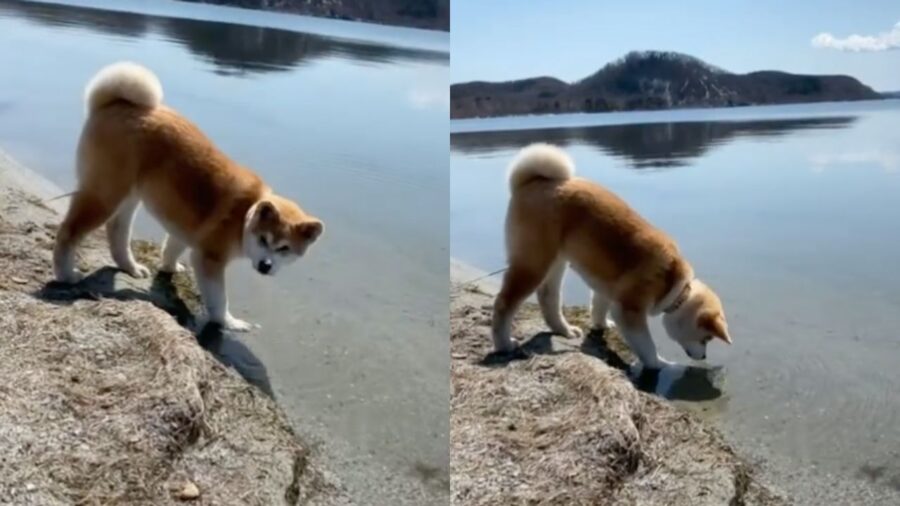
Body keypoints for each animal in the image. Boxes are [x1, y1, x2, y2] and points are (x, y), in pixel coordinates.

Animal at [52, 61, 324, 330]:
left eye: (285, 248)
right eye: (264, 239)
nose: (266, 266)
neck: (244, 215)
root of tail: (113, 103)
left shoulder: (186, 234)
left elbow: (171, 249)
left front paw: (169, 267)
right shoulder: (209, 260)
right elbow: (219, 300)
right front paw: (229, 322)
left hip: (127, 197)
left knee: (117, 231)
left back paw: (130, 267)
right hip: (105, 195)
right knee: (68, 232)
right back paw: (66, 274)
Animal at [492, 142, 732, 368]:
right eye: (707, 338)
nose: (703, 357)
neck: (672, 282)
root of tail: (531, 181)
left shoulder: (607, 289)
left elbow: (598, 306)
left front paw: (601, 325)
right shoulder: (630, 310)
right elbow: (646, 345)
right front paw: (659, 363)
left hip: (555, 261)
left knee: (548, 297)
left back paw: (564, 330)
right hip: (533, 264)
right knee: (504, 304)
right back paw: (504, 344)